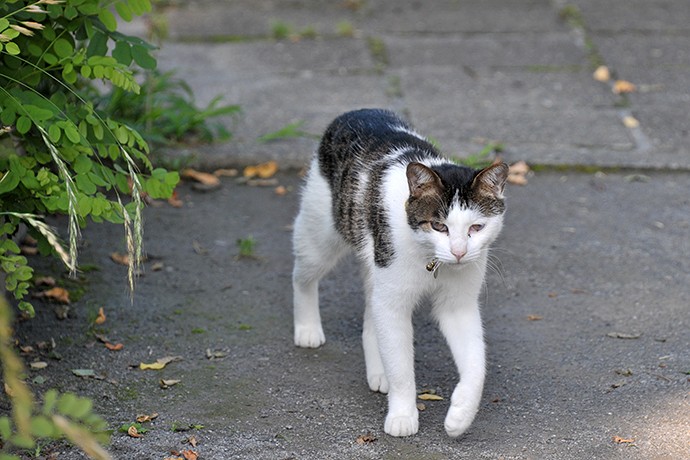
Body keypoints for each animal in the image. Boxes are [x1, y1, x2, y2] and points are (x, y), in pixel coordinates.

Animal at [290, 108, 506, 438]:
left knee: (371, 317)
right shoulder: (394, 302)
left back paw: (378, 371)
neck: (433, 260)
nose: (458, 252)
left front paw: (461, 415)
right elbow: (402, 368)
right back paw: (307, 328)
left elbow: (476, 364)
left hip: (376, 266)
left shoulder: (459, 305)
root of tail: (358, 110)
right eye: (439, 226)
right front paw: (403, 415)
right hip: (322, 236)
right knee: (302, 274)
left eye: (476, 227)